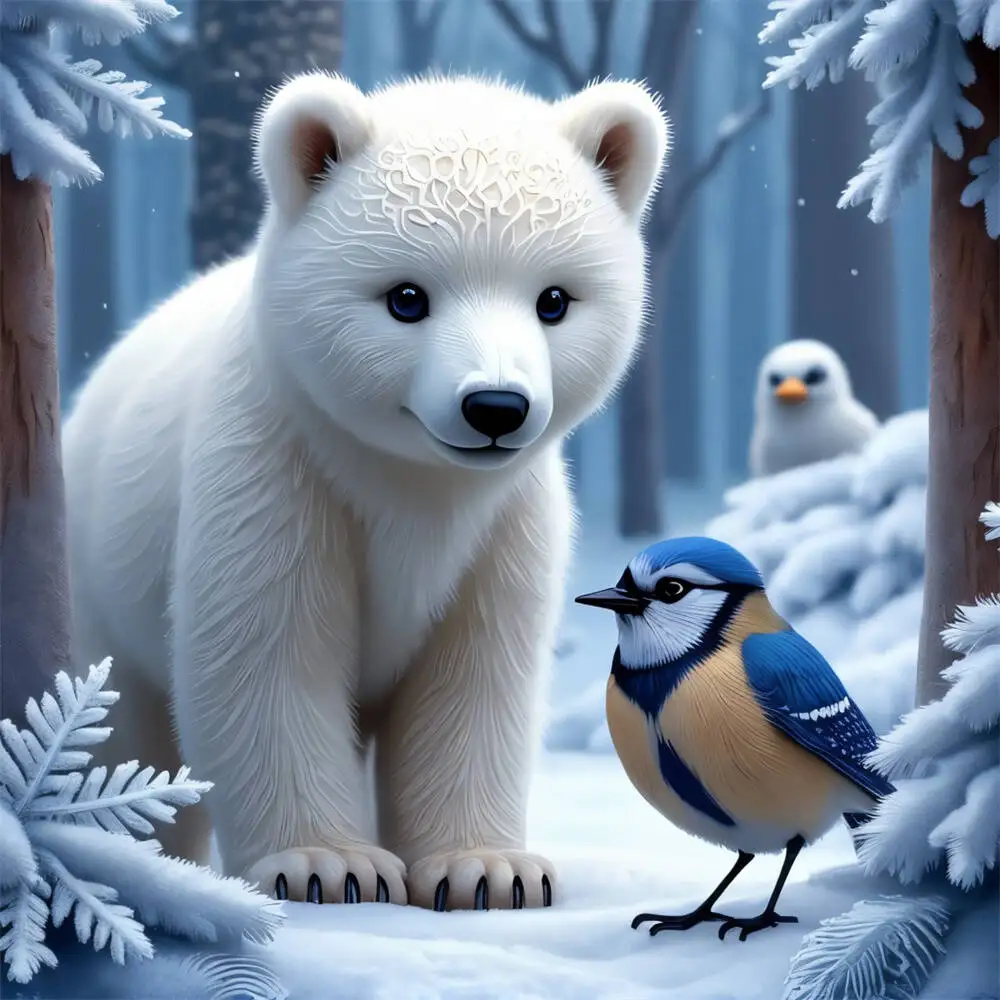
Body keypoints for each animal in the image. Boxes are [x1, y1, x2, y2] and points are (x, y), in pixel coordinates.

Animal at [62, 71, 668, 910]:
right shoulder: (276, 470)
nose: (496, 407)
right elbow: (268, 654)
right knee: (124, 726)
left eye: (554, 300)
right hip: (101, 581)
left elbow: (474, 674)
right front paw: (327, 865)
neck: (411, 483)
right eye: (406, 297)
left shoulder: (503, 523)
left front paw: (491, 870)